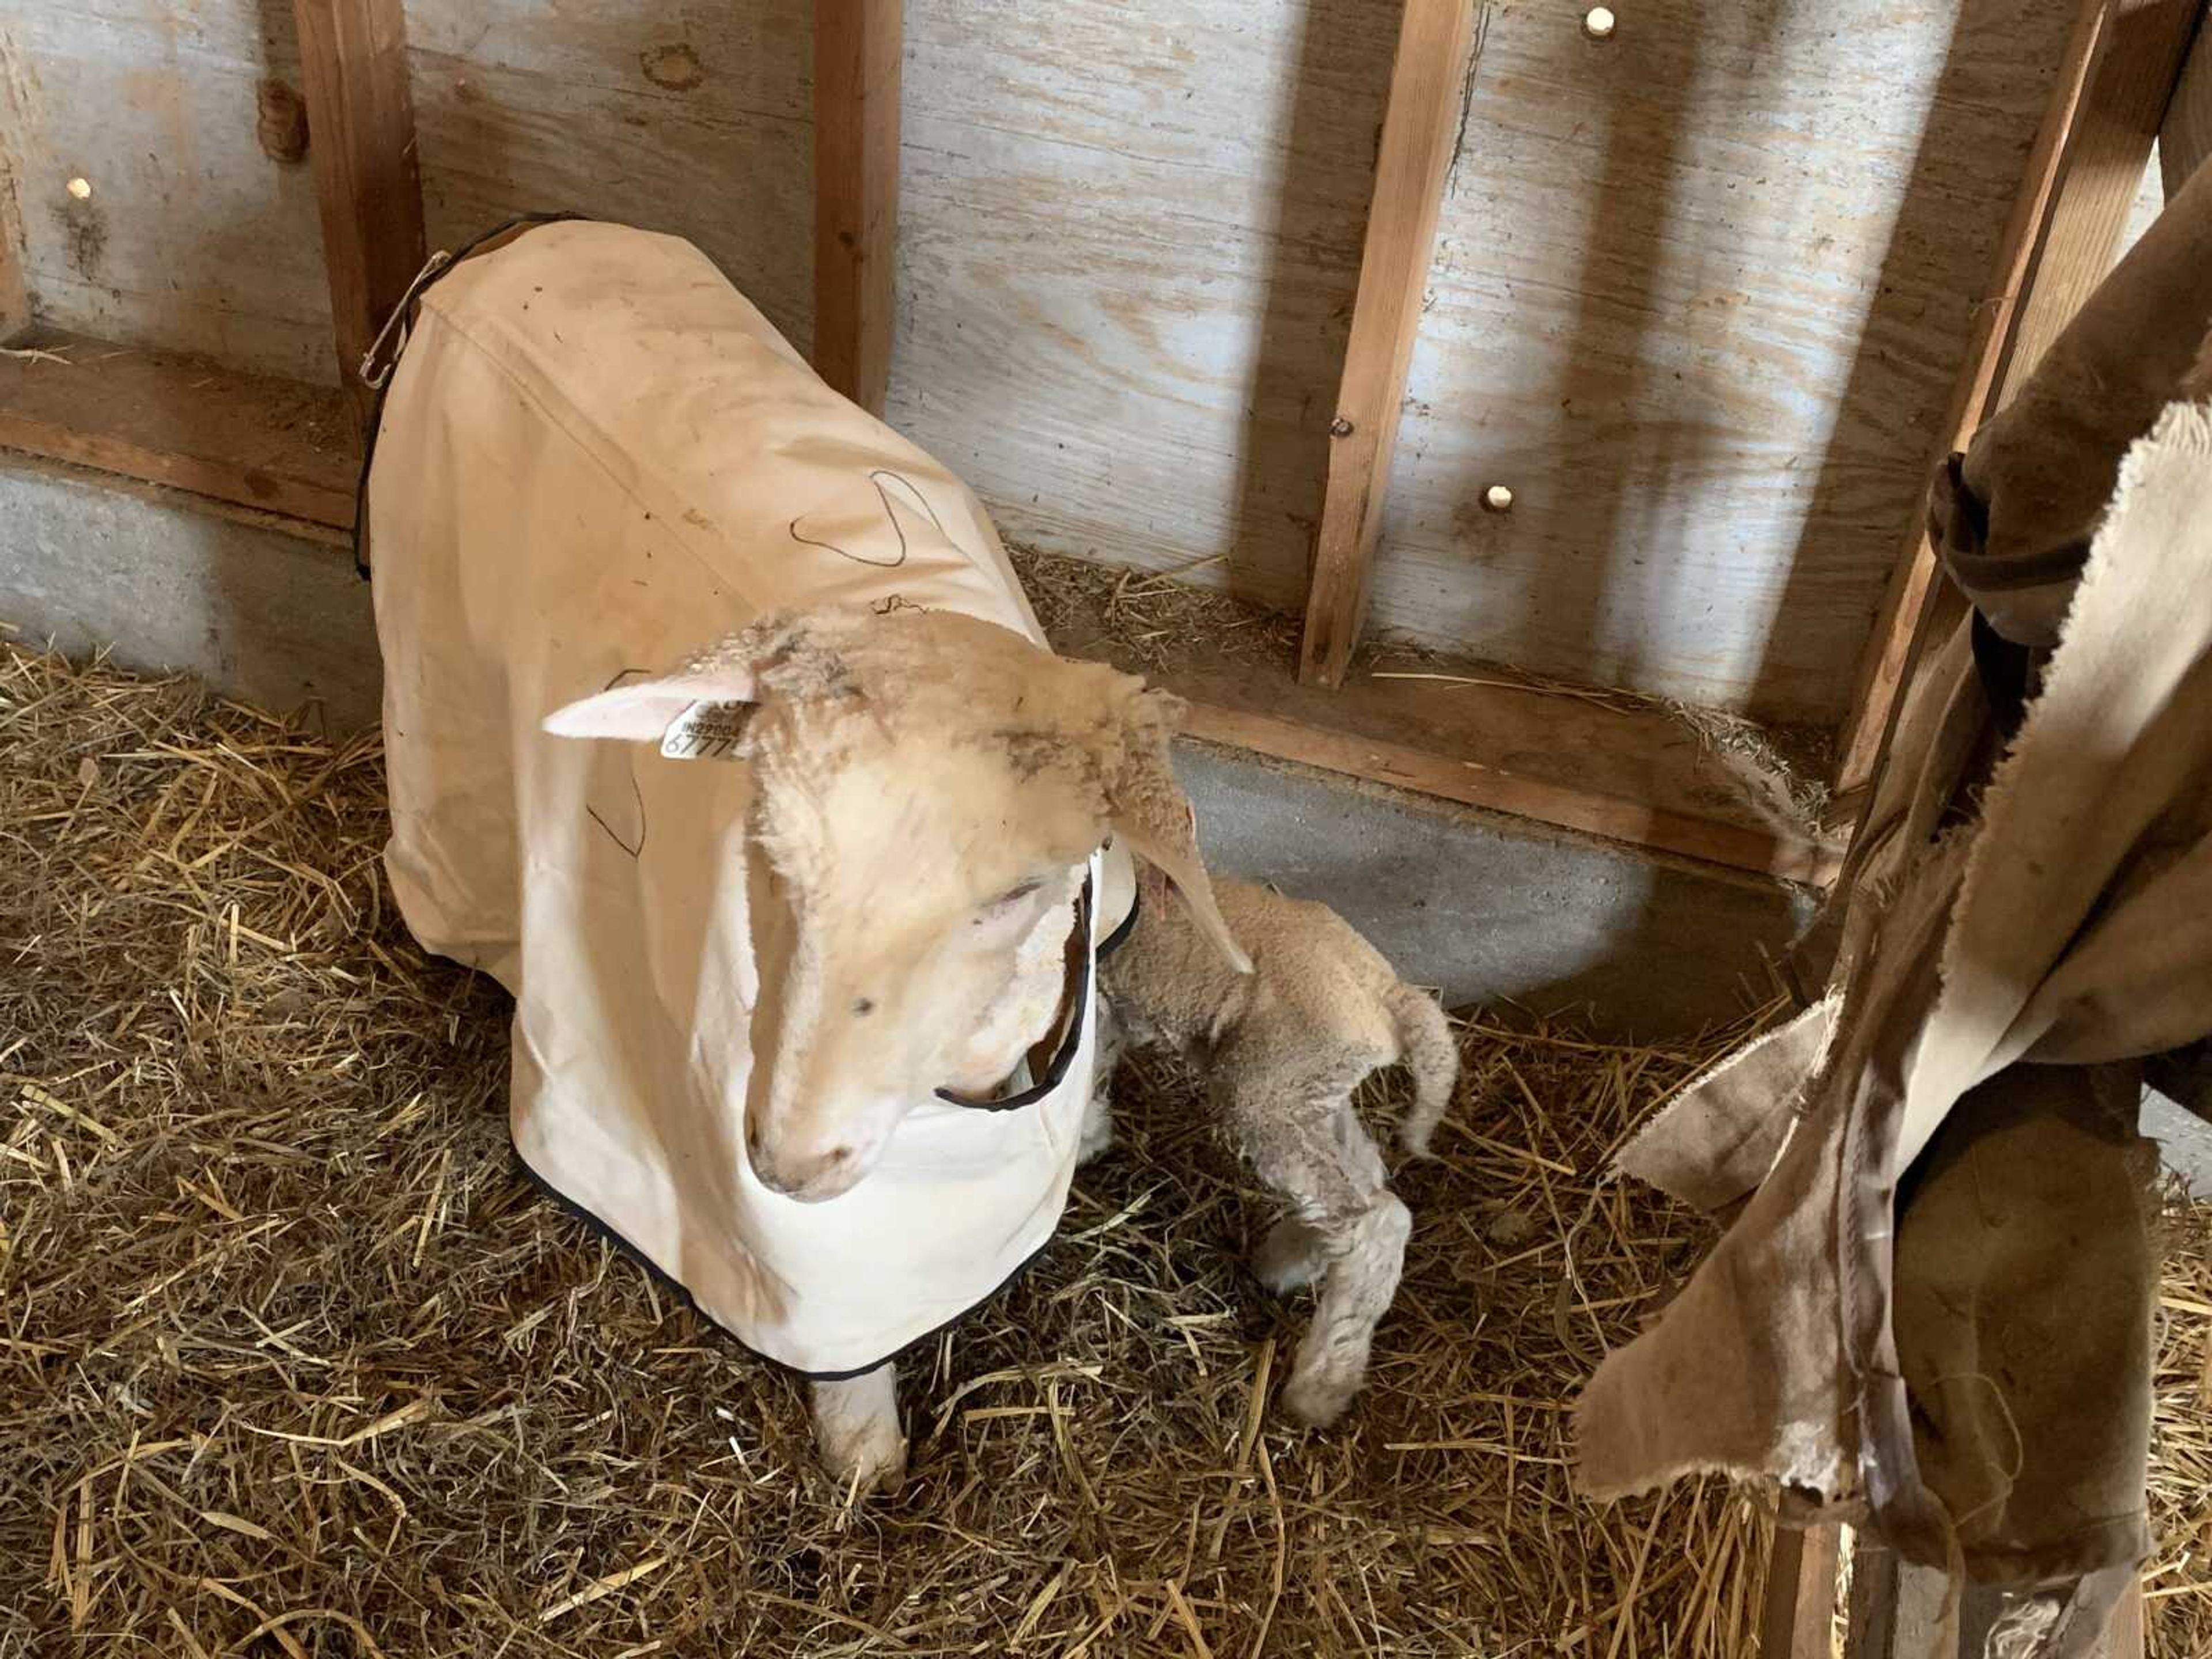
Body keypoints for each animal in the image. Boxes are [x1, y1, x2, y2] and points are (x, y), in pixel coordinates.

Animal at [372, 218, 1256, 1495]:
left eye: (1019, 893)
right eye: (764, 846)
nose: (790, 1162)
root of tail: (512, 239)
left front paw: (1088, 1123)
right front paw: (863, 1454)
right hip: (434, 681)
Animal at [1097, 871, 1460, 1433]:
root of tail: (1388, 991)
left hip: (1267, 1092)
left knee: (1372, 1224)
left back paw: (1320, 1387)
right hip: (1304, 1091)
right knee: (1365, 1182)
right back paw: (1286, 1262)